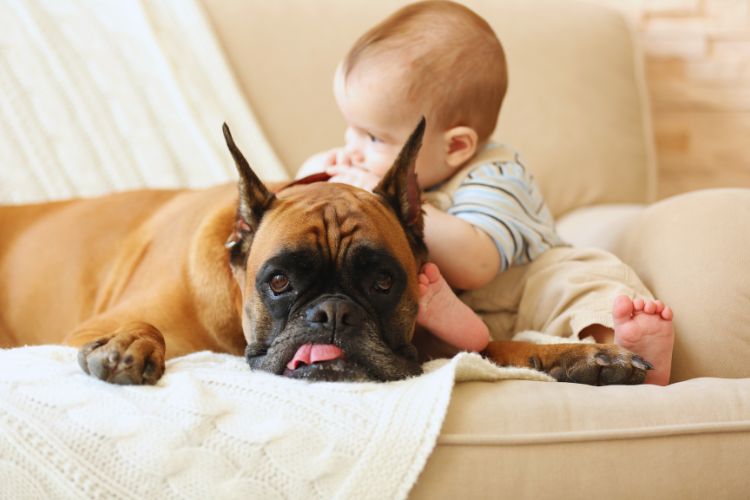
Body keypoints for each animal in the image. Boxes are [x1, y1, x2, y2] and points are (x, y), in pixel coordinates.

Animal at [0, 119, 652, 384]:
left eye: (384, 283)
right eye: (279, 282)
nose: (333, 313)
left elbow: (497, 346)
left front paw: (583, 358)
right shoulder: (87, 326)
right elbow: (141, 325)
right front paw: (131, 345)